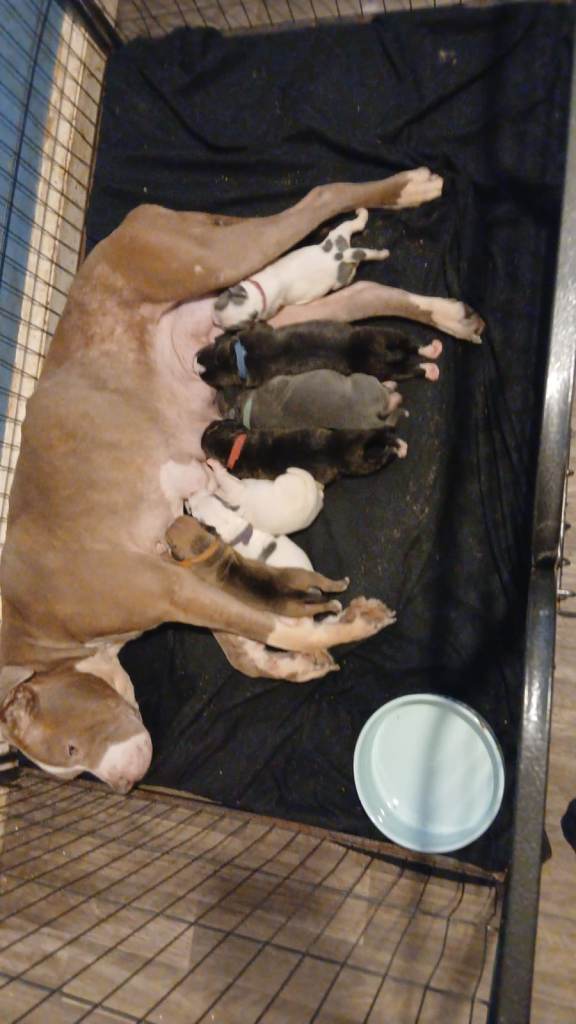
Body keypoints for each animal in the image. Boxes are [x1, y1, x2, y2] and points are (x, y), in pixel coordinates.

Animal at [195, 319, 444, 389]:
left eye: (211, 379)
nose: (194, 363)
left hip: (378, 360)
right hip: (380, 339)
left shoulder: (258, 330)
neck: (240, 358)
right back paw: (432, 354)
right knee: (408, 348)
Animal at [213, 207, 390, 329]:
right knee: (352, 225)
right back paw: (361, 213)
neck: (258, 292)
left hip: (340, 280)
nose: (214, 322)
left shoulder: (272, 307)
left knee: (353, 268)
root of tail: (340, 255)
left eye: (227, 328)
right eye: (216, 304)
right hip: (336, 236)